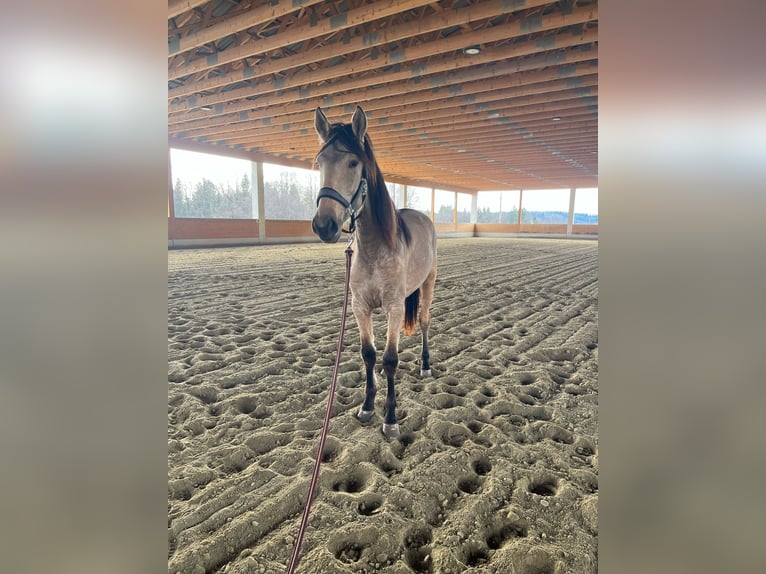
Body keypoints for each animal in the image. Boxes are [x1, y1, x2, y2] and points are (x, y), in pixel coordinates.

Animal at [312, 107, 438, 440]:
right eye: (320, 162)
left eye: (354, 162)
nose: (324, 225)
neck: (373, 247)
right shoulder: (360, 308)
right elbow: (369, 353)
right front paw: (367, 406)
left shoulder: (394, 306)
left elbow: (392, 358)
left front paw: (391, 419)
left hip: (428, 284)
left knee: (424, 321)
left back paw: (425, 366)